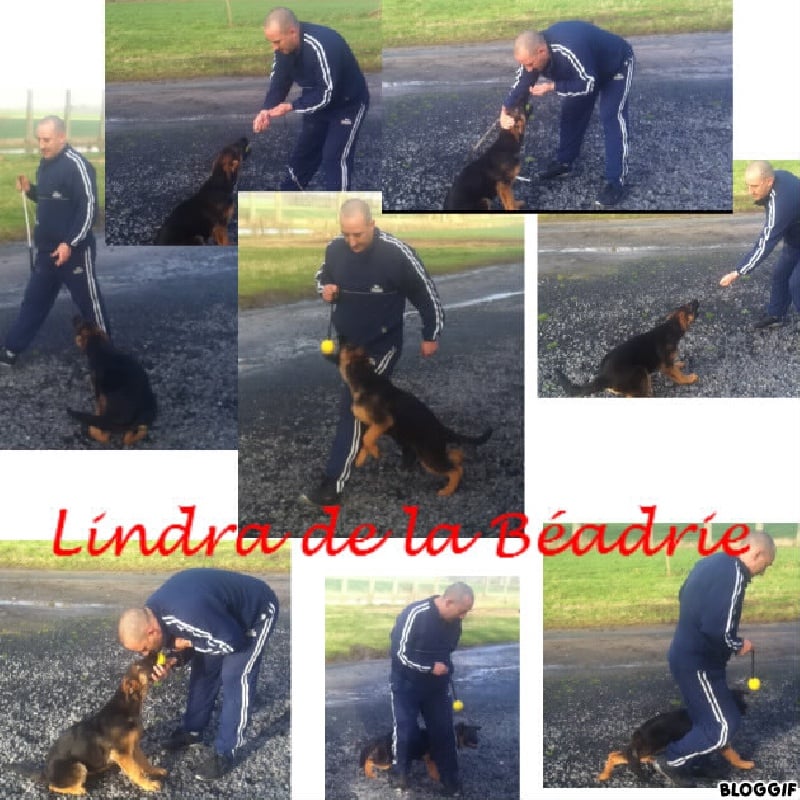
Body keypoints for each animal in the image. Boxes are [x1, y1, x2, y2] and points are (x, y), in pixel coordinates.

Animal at [44, 654, 166, 794]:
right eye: (139, 666)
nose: (154, 652)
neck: (126, 708)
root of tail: (45, 773)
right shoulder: (122, 754)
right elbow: (137, 771)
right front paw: (148, 784)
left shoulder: (134, 746)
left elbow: (144, 762)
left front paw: (154, 770)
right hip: (78, 766)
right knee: (52, 786)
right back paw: (79, 790)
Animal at [68, 317, 157, 446]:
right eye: (90, 322)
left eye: (79, 327)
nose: (75, 316)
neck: (100, 347)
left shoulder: (98, 390)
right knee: (134, 433)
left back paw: (95, 431)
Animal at [337, 345, 492, 496]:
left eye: (349, 349)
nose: (343, 343)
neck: (366, 377)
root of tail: (442, 429)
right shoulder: (371, 425)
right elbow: (366, 441)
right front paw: (362, 458)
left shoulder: (384, 421)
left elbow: (367, 439)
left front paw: (374, 452)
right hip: (432, 453)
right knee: (455, 458)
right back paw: (457, 461)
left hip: (429, 456)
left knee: (455, 470)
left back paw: (447, 490)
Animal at [556, 299, 700, 397]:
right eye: (690, 306)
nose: (696, 299)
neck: (670, 327)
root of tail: (604, 377)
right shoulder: (666, 366)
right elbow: (678, 375)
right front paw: (689, 379)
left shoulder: (668, 363)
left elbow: (675, 367)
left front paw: (679, 364)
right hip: (639, 370)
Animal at [598, 688, 753, 782]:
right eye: (740, 702)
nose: (746, 709)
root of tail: (639, 731)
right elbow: (732, 755)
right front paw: (742, 764)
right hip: (654, 746)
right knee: (627, 756)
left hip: (647, 749)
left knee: (617, 754)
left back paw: (605, 773)